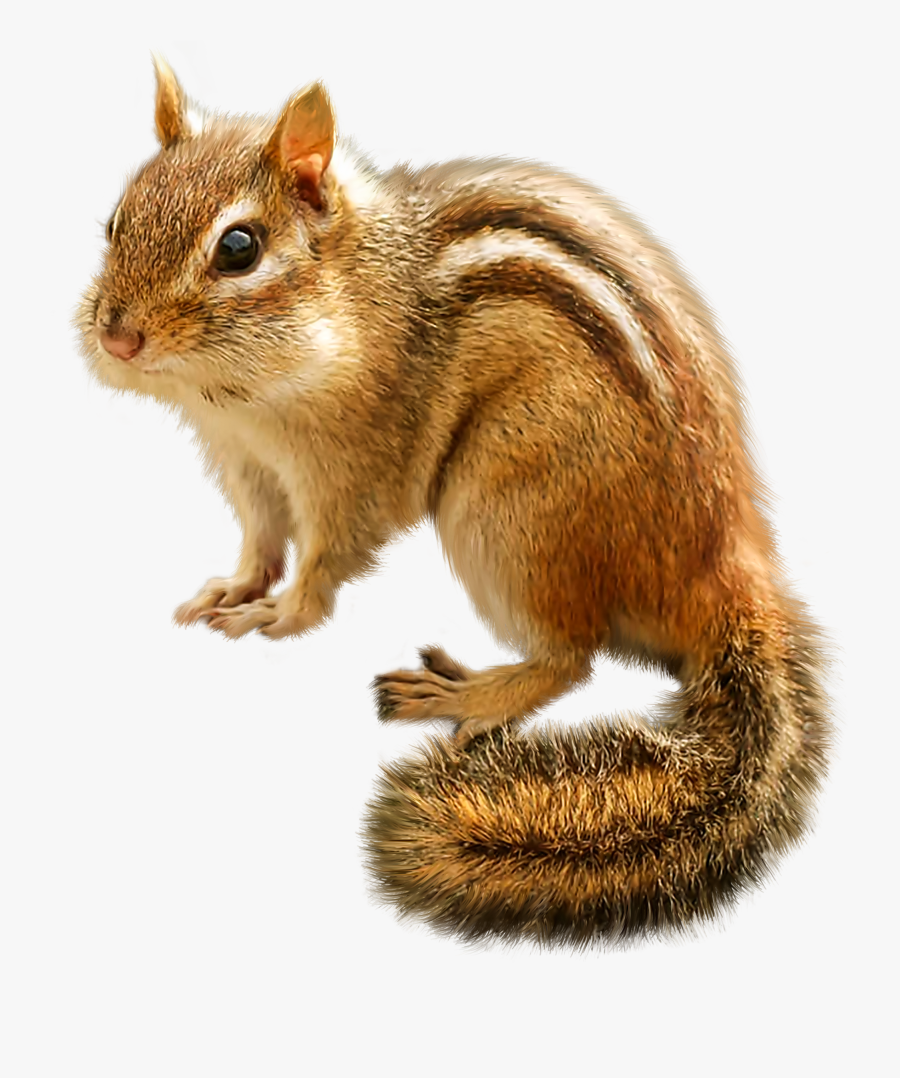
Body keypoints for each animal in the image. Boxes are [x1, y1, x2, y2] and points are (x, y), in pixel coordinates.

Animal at [78, 59, 830, 947]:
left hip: (507, 515)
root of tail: (719, 565)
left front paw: (282, 613)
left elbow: (324, 561)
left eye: (239, 248)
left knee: (570, 657)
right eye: (116, 219)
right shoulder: (243, 462)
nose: (118, 336)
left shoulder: (357, 469)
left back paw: (470, 693)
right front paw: (234, 588)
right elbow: (260, 538)